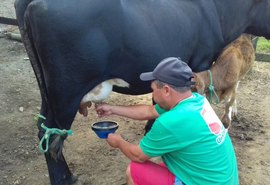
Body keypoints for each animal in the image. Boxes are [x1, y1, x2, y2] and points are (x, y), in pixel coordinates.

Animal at [14, 0, 270, 184]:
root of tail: (35, 3)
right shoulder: (200, 62)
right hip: (66, 92)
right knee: (52, 137)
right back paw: (64, 180)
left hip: (49, 93)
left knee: (44, 130)